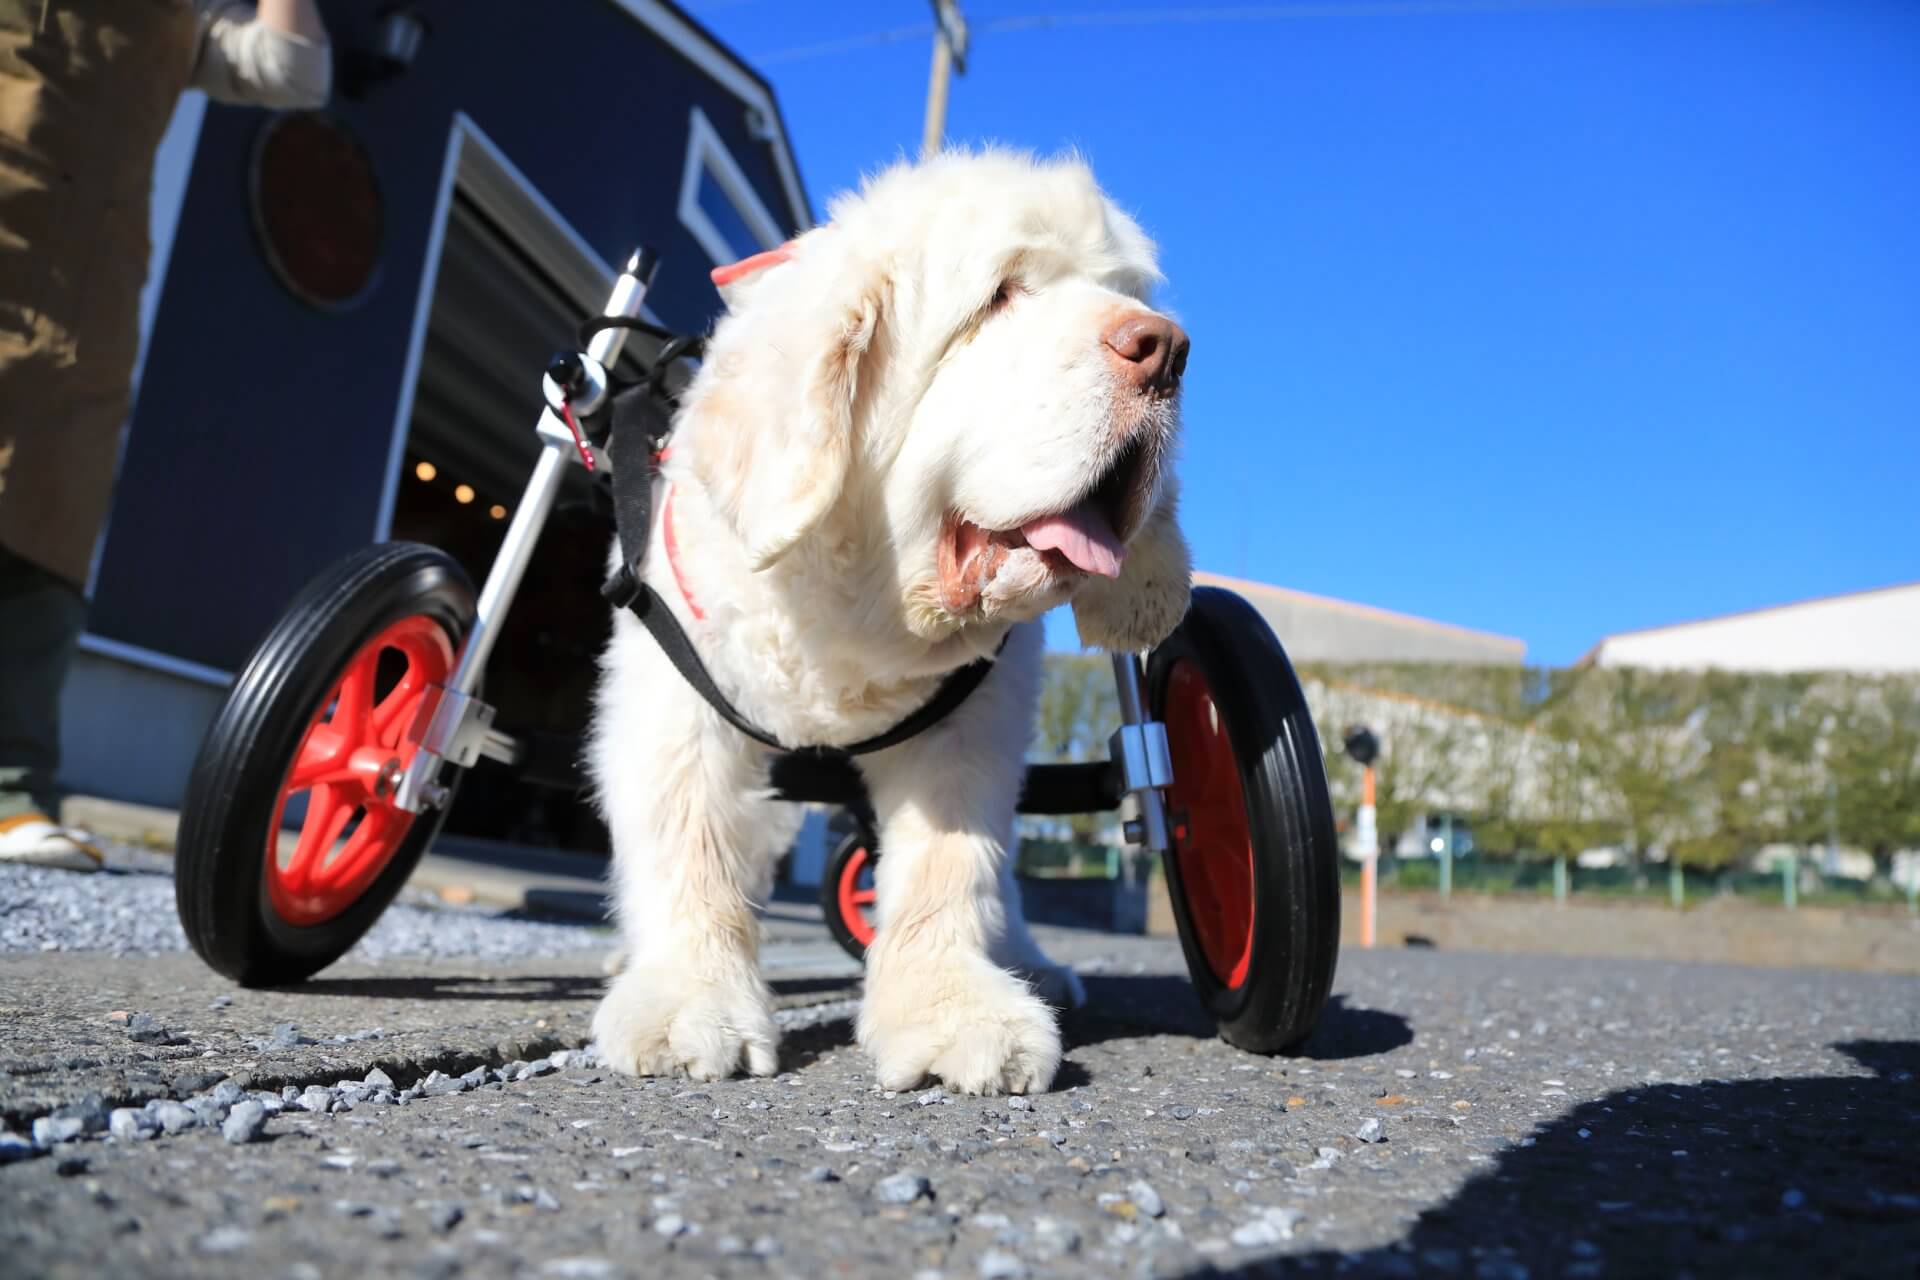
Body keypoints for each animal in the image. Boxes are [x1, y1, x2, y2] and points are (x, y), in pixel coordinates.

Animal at [587, 147, 1182, 1090]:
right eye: (1000, 294)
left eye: (1122, 289)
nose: (1166, 349)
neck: (864, 611)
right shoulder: (675, 703)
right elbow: (692, 847)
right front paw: (689, 1001)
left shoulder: (972, 727)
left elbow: (951, 866)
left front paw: (951, 1010)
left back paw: (1032, 960)